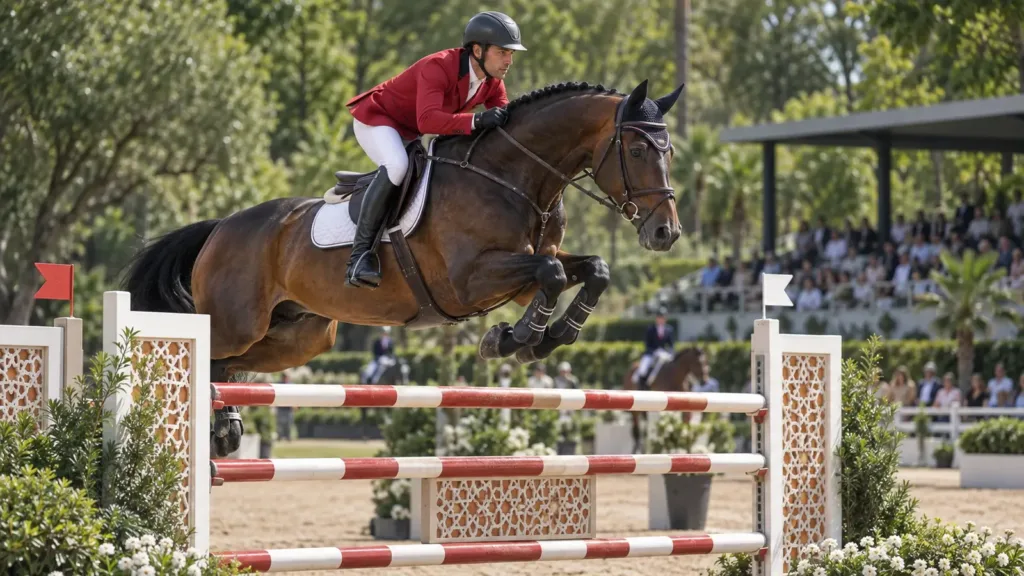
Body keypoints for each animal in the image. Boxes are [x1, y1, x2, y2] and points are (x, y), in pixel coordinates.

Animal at [122, 79, 684, 457]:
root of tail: (222, 227)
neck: (514, 176)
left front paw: (546, 337)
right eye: (638, 149)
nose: (666, 233)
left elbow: (590, 270)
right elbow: (550, 272)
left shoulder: (521, 276)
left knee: (228, 365)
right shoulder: (468, 280)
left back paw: (226, 426)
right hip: (237, 321)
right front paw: (512, 339)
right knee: (207, 354)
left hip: (299, 337)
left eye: (671, 151)